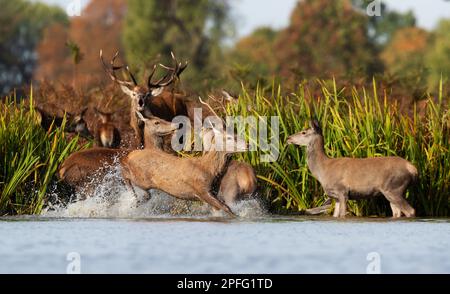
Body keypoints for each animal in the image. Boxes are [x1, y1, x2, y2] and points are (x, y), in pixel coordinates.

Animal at [119, 111, 248, 217]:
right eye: (230, 137)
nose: (247, 144)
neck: (209, 170)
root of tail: (131, 155)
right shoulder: (201, 190)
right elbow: (226, 208)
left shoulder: (213, 191)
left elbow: (221, 209)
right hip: (141, 179)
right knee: (125, 174)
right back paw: (134, 200)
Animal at [286, 119, 416, 218]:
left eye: (303, 132)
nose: (288, 138)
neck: (322, 170)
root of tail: (413, 169)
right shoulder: (335, 196)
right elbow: (335, 215)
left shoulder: (342, 191)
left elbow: (342, 214)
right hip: (393, 191)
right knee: (397, 213)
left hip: (393, 188)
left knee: (411, 211)